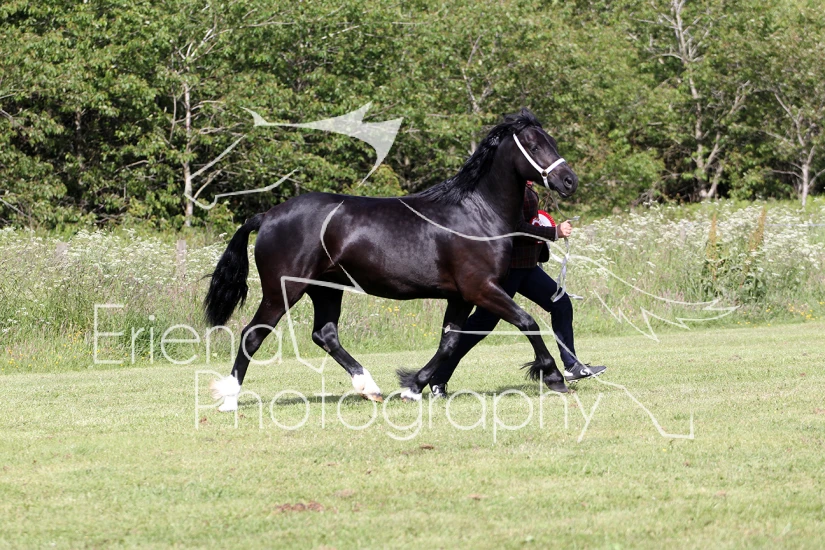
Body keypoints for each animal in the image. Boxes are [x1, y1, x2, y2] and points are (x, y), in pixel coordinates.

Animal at [205, 109, 577, 411]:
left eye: (551, 140)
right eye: (533, 144)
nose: (569, 181)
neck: (476, 215)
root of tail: (267, 216)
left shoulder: (460, 296)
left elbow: (450, 341)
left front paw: (414, 386)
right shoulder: (481, 289)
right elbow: (527, 321)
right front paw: (554, 377)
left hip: (326, 289)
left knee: (325, 334)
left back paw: (369, 387)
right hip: (283, 290)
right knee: (253, 334)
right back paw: (230, 398)